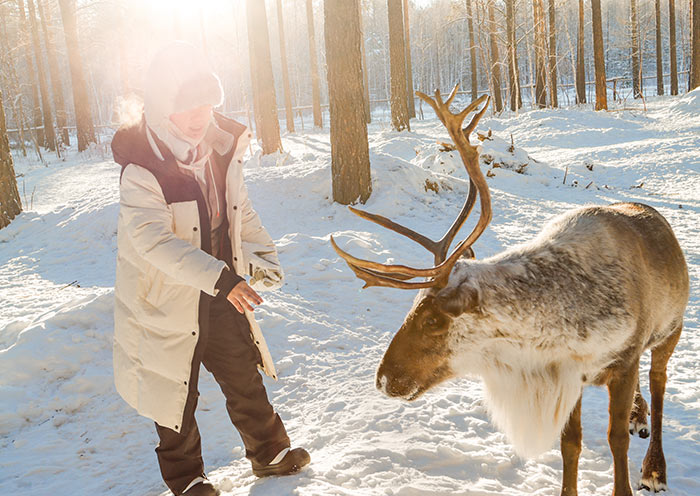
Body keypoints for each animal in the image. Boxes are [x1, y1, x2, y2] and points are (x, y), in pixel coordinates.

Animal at [330, 85, 689, 496]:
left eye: (434, 319)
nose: (384, 379)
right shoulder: (570, 372)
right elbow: (570, 443)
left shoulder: (622, 360)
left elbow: (616, 441)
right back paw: (637, 415)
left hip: (672, 328)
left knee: (659, 383)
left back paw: (654, 468)